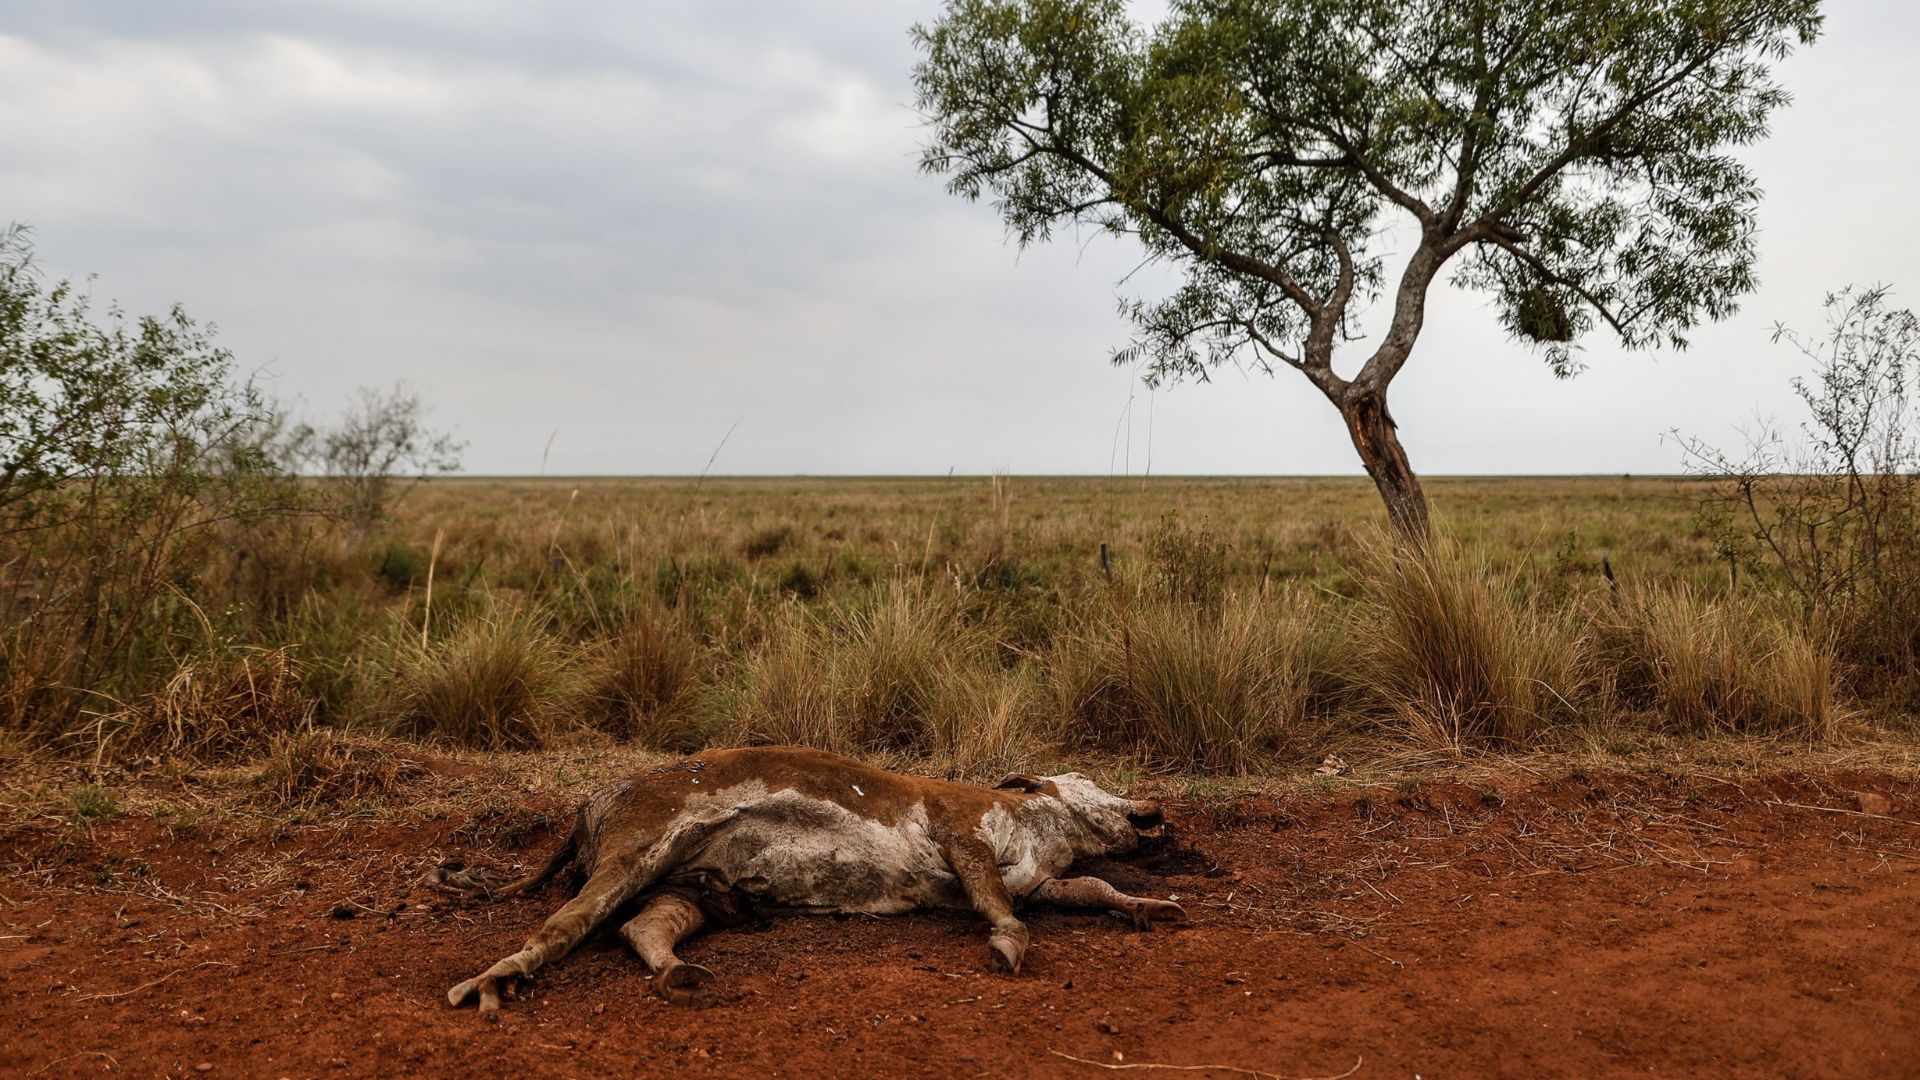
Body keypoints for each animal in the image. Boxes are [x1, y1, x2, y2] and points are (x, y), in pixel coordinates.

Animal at [439, 745, 1182, 1014]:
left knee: (642, 928)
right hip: (640, 849)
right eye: (1084, 778)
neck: (1042, 831)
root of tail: (590, 805)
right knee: (564, 926)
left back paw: (680, 975)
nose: (1149, 806)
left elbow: (1094, 891)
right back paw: (491, 982)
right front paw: (1008, 943)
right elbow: (1000, 904)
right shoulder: (959, 830)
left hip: (690, 889)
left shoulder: (1044, 882)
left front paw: (1153, 906)